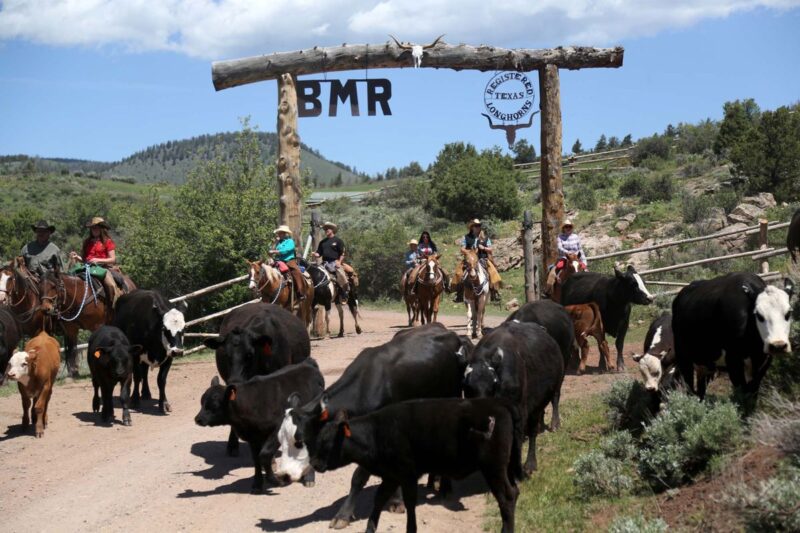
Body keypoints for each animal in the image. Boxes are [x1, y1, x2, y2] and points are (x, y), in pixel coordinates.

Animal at [195, 360, 324, 492]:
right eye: (202, 402)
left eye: (215, 405)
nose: (198, 419)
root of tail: (307, 364)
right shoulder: (253, 437)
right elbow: (256, 459)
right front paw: (257, 484)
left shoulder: (276, 430)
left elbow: (264, 455)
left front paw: (274, 480)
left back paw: (309, 478)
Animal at [272, 320, 466, 528]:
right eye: (280, 440)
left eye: (299, 441)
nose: (282, 475)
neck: (366, 387)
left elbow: (359, 476)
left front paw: (344, 514)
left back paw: (444, 487)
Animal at [312, 400, 524, 532]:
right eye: (318, 438)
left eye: (327, 442)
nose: (314, 464)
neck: (376, 433)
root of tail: (499, 404)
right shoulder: (391, 476)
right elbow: (379, 500)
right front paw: (370, 529)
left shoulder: (407, 475)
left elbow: (410, 505)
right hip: (505, 468)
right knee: (514, 492)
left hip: (493, 468)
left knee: (506, 496)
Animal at [676, 272, 792, 402]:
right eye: (759, 315)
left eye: (788, 313)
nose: (778, 345)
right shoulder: (733, 361)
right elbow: (742, 395)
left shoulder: (764, 362)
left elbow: (752, 394)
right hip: (683, 357)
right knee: (689, 387)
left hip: (705, 363)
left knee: (701, 390)